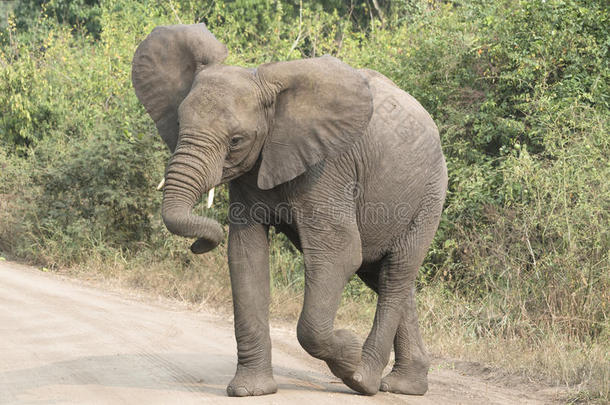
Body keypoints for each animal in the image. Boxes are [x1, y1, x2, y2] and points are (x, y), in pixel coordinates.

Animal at [132, 23, 446, 396]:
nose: (199, 244)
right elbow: (246, 255)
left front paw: (350, 355)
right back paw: (403, 386)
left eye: (236, 141)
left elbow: (338, 255)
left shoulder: (328, 168)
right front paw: (250, 391)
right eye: (179, 125)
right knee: (381, 275)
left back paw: (365, 379)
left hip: (430, 195)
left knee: (396, 271)